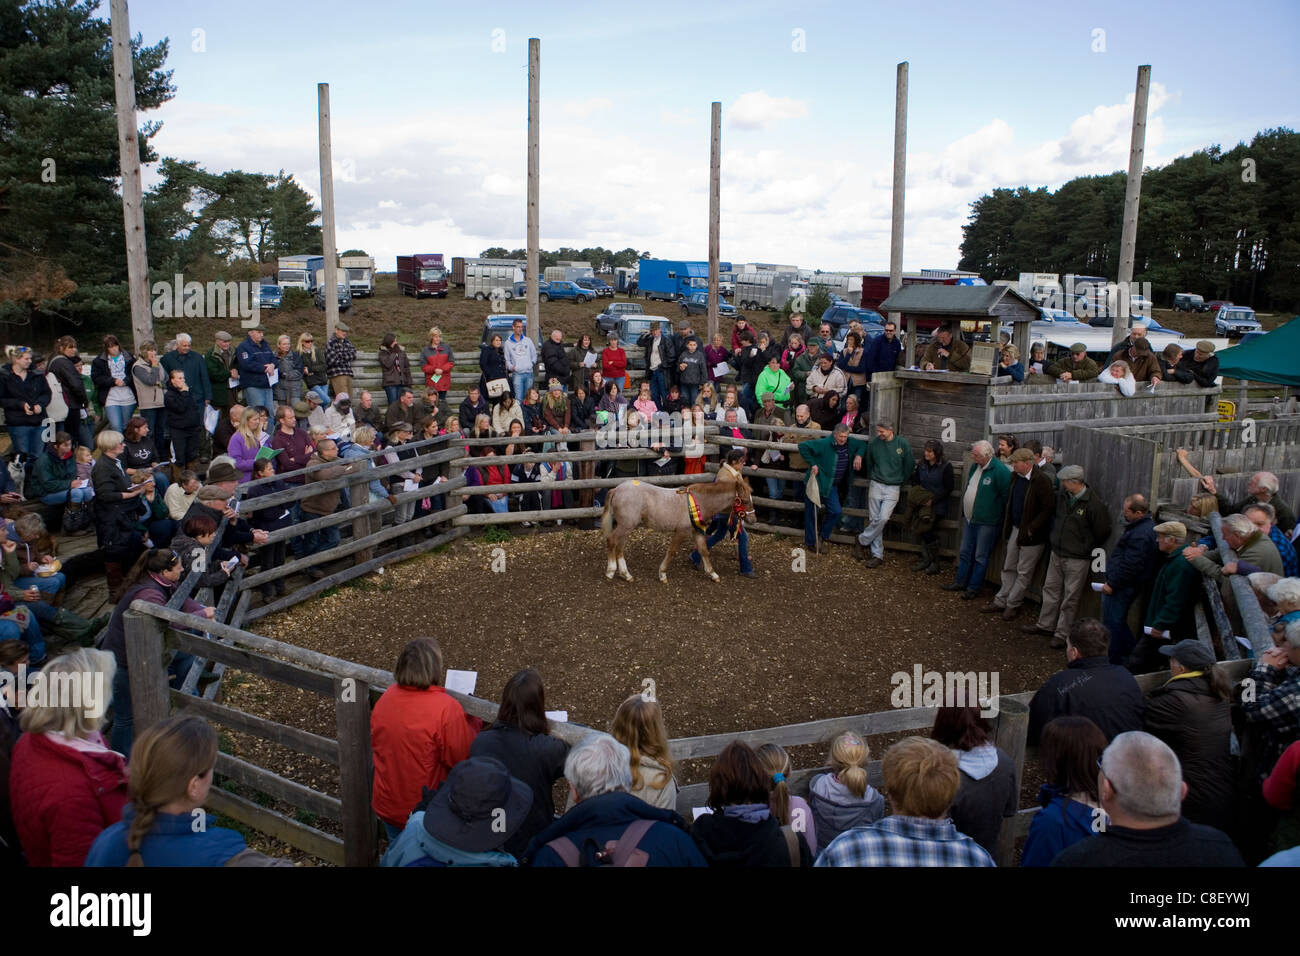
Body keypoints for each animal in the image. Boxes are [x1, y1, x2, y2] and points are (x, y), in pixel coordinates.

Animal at [595, 473, 754, 582]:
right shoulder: (681, 532)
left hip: (627, 526)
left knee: (620, 546)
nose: (753, 519)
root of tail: (616, 489)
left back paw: (626, 575)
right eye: (745, 500)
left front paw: (713, 574)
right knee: (612, 540)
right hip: (625, 525)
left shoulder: (697, 531)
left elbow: (704, 551)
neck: (699, 501)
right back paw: (611, 571)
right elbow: (672, 551)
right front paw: (662, 574)